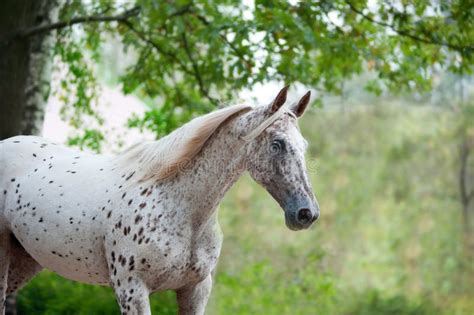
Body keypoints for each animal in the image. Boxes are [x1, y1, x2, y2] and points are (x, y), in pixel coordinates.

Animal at [0, 87, 318, 315]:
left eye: (303, 145)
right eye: (277, 144)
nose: (307, 213)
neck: (181, 210)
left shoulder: (196, 290)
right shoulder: (132, 290)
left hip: (25, 261)